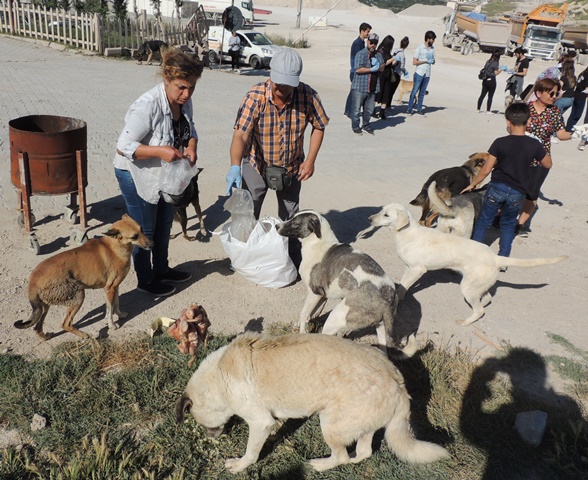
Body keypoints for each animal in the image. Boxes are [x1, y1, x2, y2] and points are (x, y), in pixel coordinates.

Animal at [14, 216, 153, 340]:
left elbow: (115, 305)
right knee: (65, 324)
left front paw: (120, 315)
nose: (152, 244)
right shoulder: (109, 289)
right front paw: (112, 325)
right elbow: (110, 310)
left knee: (37, 327)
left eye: (142, 229)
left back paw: (45, 337)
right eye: (134, 236)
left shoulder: (114, 287)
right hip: (78, 296)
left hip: (44, 306)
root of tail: (32, 282)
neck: (114, 246)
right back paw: (85, 335)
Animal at [175, 334, 450, 472]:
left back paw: (320, 465)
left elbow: (252, 452)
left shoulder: (260, 422)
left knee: (341, 457)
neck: (218, 376)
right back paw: (351, 459)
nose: (211, 438)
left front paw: (240, 466)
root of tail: (398, 382)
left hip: (329, 424)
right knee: (363, 453)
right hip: (360, 425)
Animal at [276, 210, 414, 356]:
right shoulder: (322, 295)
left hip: (336, 317)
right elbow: (311, 314)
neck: (318, 243)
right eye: (291, 217)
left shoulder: (314, 293)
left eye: (295, 223)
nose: (276, 226)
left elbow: (304, 314)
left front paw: (302, 332)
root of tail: (387, 298)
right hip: (381, 328)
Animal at [370, 202, 568, 326]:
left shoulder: (418, 270)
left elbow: (404, 287)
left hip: (467, 287)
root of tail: (495, 257)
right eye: (381, 210)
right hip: (477, 285)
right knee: (487, 299)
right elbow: (402, 285)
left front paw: (399, 300)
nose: (369, 219)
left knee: (480, 310)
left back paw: (465, 322)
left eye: (386, 215)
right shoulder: (409, 267)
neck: (406, 233)